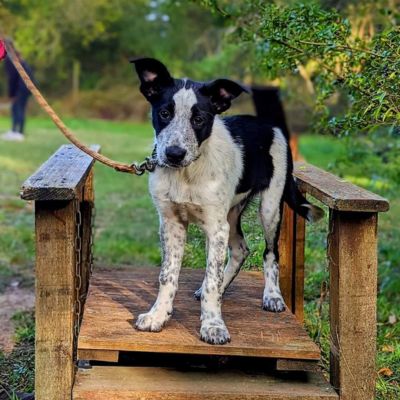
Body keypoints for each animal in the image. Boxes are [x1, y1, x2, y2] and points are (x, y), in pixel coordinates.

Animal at [131, 57, 322, 346]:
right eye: (164, 114)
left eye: (199, 119)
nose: (174, 154)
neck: (187, 173)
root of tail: (270, 124)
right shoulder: (171, 223)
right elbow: (168, 275)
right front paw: (158, 315)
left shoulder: (215, 226)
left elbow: (212, 276)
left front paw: (212, 325)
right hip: (231, 213)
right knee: (241, 249)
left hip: (269, 208)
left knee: (270, 253)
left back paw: (272, 296)